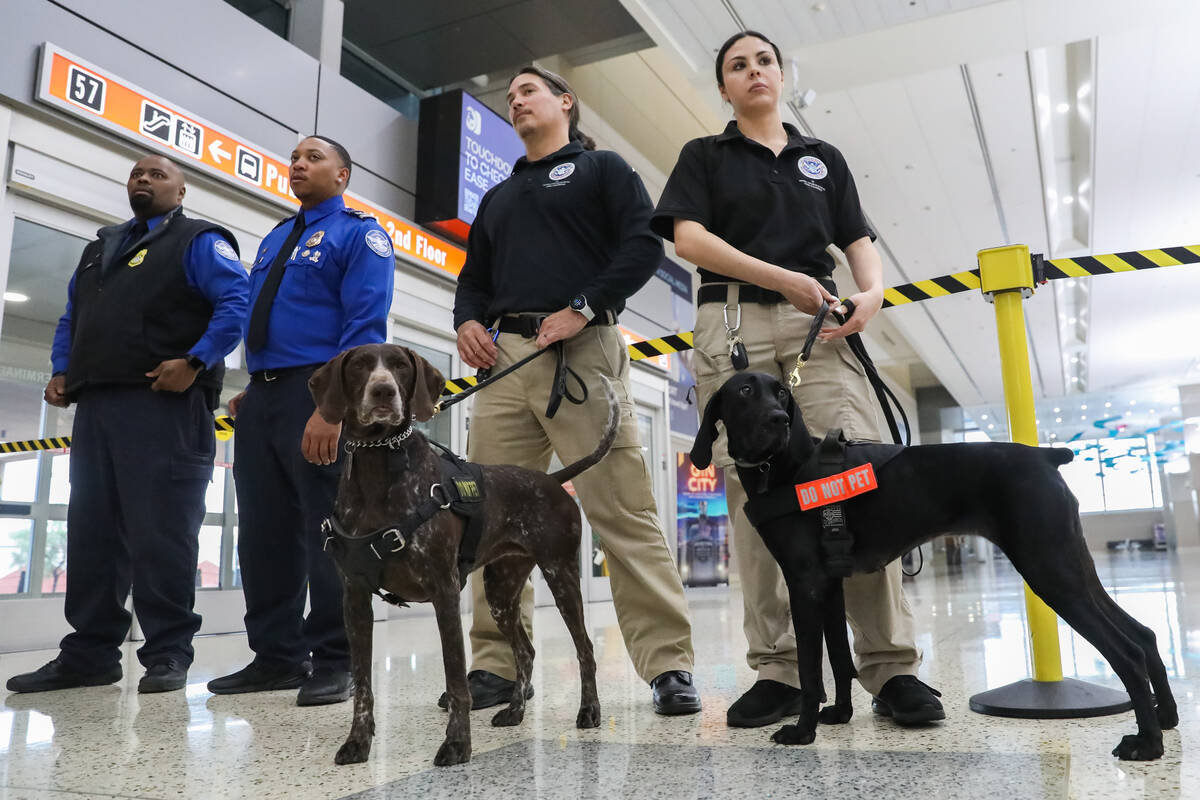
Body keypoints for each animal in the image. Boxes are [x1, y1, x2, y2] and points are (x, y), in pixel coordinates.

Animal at [309, 345, 614, 767]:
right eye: (359, 366)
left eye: (400, 366)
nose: (384, 391)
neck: (379, 467)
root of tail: (554, 479)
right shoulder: (355, 599)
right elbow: (364, 684)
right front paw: (358, 741)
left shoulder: (444, 591)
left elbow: (455, 678)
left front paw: (457, 743)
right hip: (502, 592)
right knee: (526, 651)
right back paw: (515, 711)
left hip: (562, 575)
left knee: (585, 648)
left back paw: (589, 710)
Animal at [691, 371, 1176, 762]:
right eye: (746, 390)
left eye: (782, 394)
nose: (780, 419)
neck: (785, 470)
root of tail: (1044, 456)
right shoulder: (828, 587)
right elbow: (841, 661)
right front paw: (841, 715)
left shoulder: (805, 584)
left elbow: (812, 671)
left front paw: (802, 732)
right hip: (1070, 566)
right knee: (1144, 635)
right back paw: (1167, 718)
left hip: (1050, 571)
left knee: (1127, 651)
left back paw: (1148, 744)